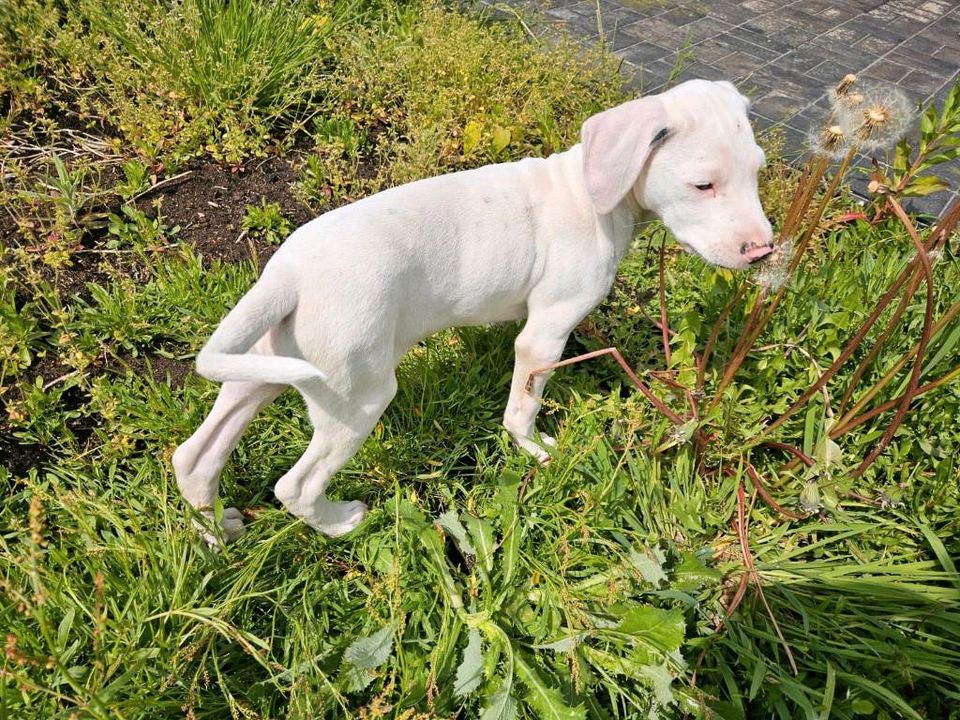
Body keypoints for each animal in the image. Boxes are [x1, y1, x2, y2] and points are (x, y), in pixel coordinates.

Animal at [172, 79, 772, 540]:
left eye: (758, 174)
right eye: (703, 185)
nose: (764, 250)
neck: (589, 192)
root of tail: (287, 274)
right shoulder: (544, 333)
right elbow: (524, 404)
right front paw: (534, 449)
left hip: (265, 365)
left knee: (195, 455)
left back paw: (216, 531)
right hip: (355, 395)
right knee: (294, 486)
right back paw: (341, 522)